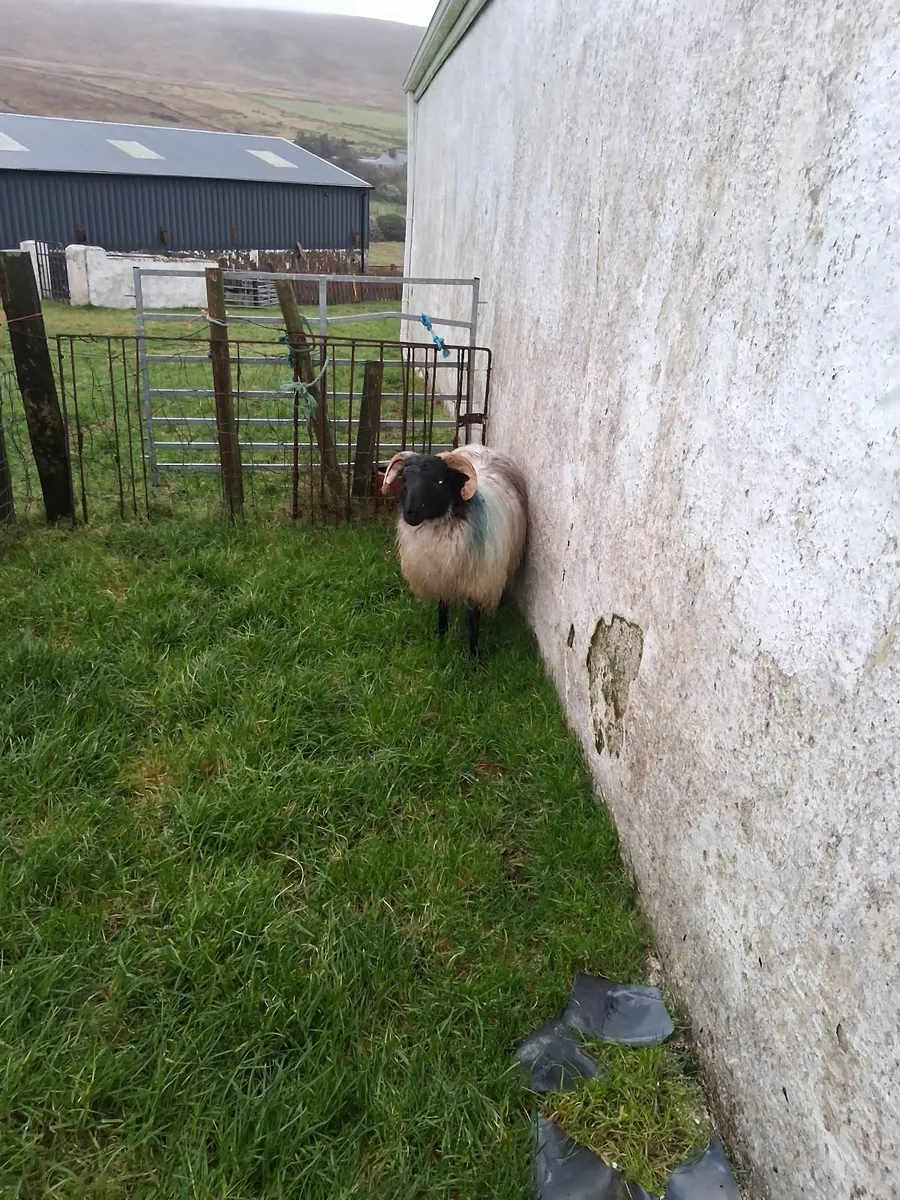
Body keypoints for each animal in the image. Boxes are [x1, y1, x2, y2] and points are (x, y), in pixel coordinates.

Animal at [380, 443, 527, 657]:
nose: (410, 513)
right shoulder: (441, 576)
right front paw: (441, 637)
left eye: (439, 481)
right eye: (404, 479)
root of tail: (481, 446)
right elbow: (442, 608)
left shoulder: (478, 583)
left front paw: (473, 657)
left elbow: (472, 622)